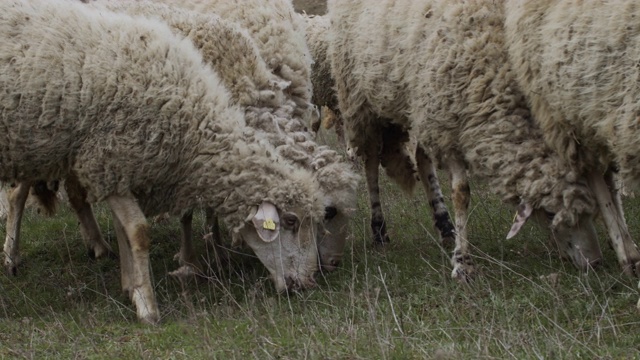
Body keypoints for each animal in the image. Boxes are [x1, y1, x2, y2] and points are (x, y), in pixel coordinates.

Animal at [1, 0, 330, 324]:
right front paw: (148, 304)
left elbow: (129, 229)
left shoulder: (118, 170)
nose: (308, 283)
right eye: (291, 221)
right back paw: (12, 257)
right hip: (31, 145)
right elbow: (138, 231)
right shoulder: (111, 162)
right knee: (17, 196)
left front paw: (131, 285)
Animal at [328, 0, 604, 278]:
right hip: (360, 102)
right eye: (549, 213)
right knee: (371, 164)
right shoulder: (451, 125)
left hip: (418, 107)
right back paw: (379, 230)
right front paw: (463, 264)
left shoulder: (441, 118)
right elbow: (461, 194)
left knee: (421, 159)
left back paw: (444, 225)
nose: (594, 262)